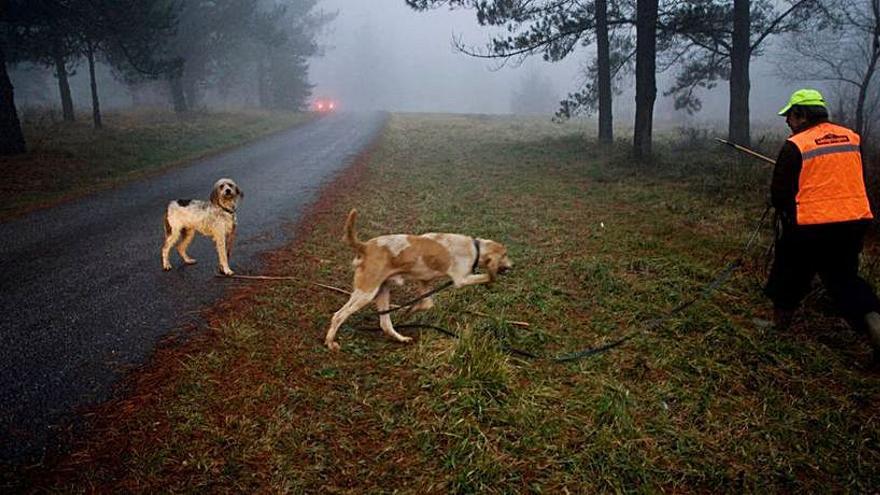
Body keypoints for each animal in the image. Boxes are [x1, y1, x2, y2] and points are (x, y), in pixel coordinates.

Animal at [326, 209, 512, 352]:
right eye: (505, 255)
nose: (513, 265)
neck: (475, 247)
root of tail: (365, 246)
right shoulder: (462, 279)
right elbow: (487, 276)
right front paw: (491, 279)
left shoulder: (424, 281)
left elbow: (427, 304)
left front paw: (411, 309)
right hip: (366, 293)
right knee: (338, 315)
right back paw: (330, 343)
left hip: (382, 292)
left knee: (385, 324)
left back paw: (401, 338)